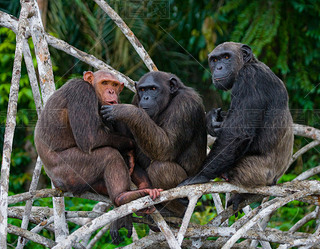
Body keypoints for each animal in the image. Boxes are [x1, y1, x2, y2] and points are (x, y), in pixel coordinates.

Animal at [34, 69, 162, 208]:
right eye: (104, 83)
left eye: (114, 85)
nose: (111, 91)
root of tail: (56, 184)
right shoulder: (81, 91)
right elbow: (90, 137)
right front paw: (131, 145)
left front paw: (131, 156)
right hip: (68, 172)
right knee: (109, 154)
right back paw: (122, 196)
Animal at [179, 42, 294, 210]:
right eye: (214, 60)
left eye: (226, 57)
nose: (219, 67)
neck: (249, 64)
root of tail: (275, 180)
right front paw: (212, 120)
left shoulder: (249, 78)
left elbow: (237, 133)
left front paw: (200, 176)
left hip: (254, 172)